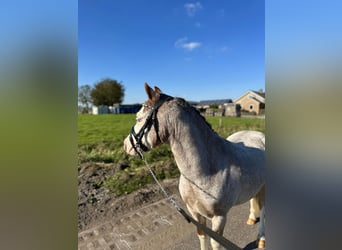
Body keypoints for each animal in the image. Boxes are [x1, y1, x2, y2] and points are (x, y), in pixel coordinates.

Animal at [124, 84, 266, 250]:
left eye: (138, 118)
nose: (126, 145)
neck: (203, 173)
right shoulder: (194, 212)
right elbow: (202, 236)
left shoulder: (219, 217)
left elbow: (215, 243)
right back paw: (251, 218)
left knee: (264, 211)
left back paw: (261, 240)